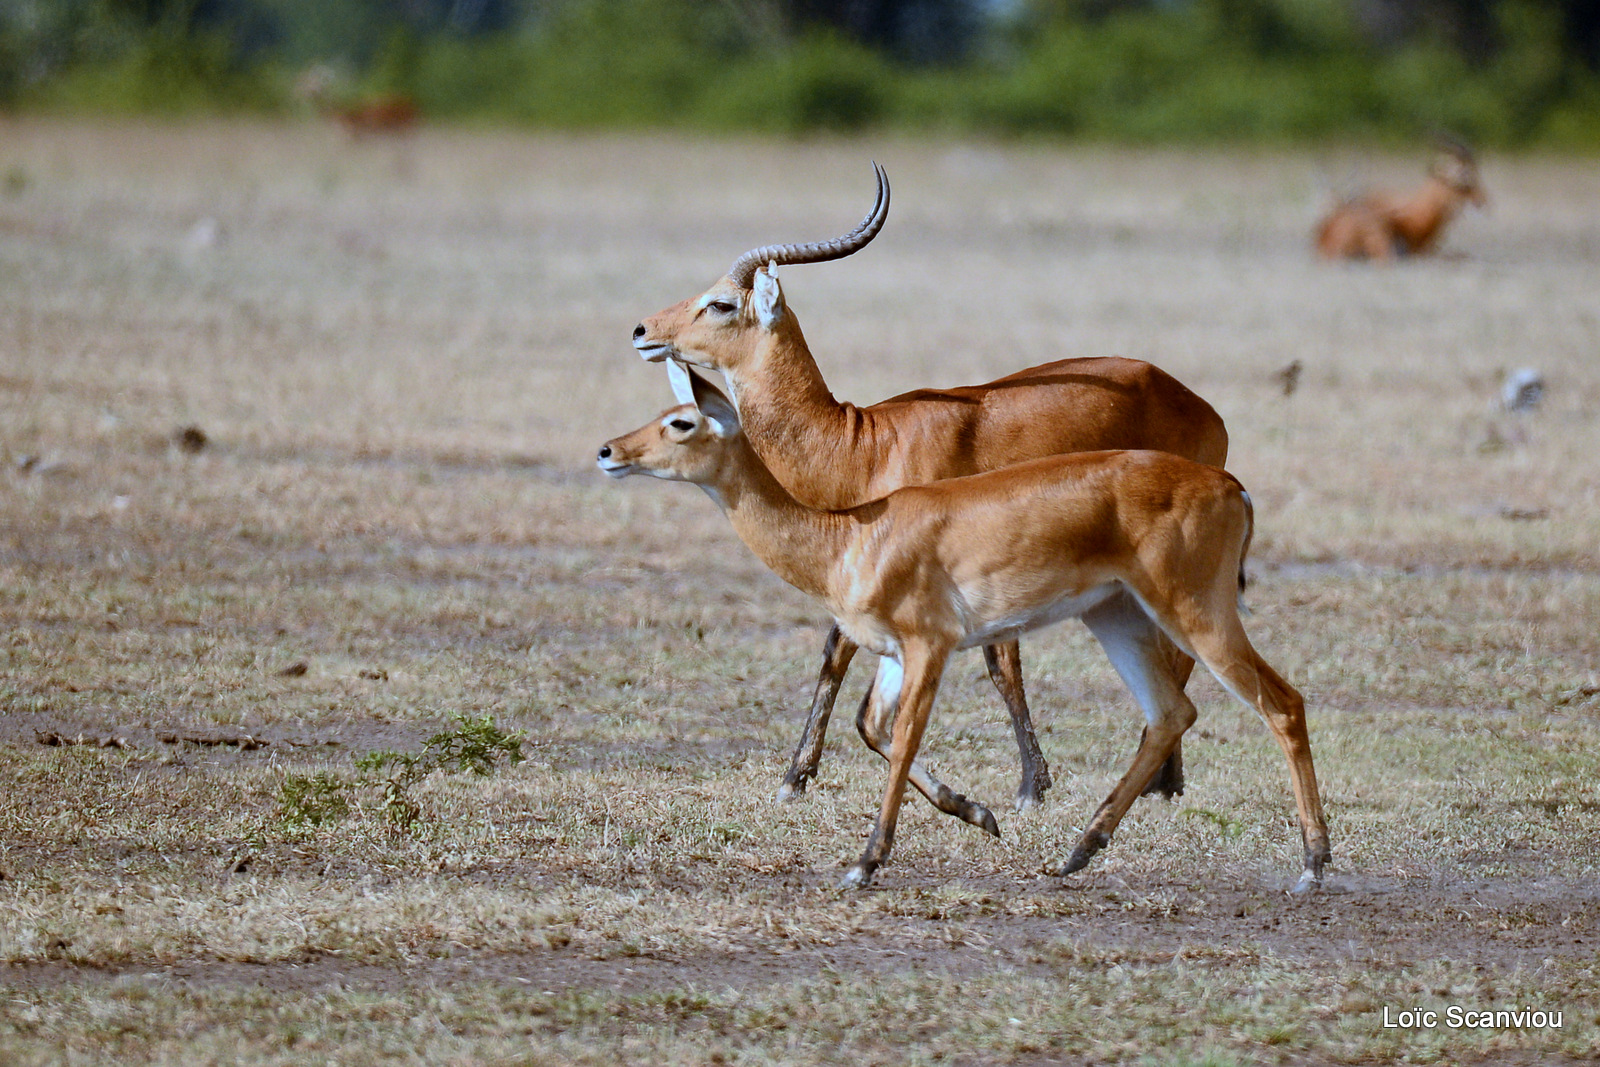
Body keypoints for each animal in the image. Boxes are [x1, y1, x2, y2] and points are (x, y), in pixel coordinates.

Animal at [595, 361, 1331, 895]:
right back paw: (1076, 853)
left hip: (1196, 612)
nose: (607, 450)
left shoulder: (931, 646)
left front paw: (865, 862)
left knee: (1282, 703)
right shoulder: (894, 655)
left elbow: (900, 741)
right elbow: (877, 727)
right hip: (1115, 616)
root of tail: (1231, 485)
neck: (850, 536)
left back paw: (1313, 864)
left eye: (681, 421)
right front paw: (981, 814)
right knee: (1171, 712)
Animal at [627, 164, 1222, 809]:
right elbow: (835, 654)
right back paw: (1164, 780)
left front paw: (1030, 787)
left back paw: (1162, 782)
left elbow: (998, 665)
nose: (642, 329)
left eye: (721, 302)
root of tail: (1194, 400)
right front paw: (794, 777)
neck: (859, 442)